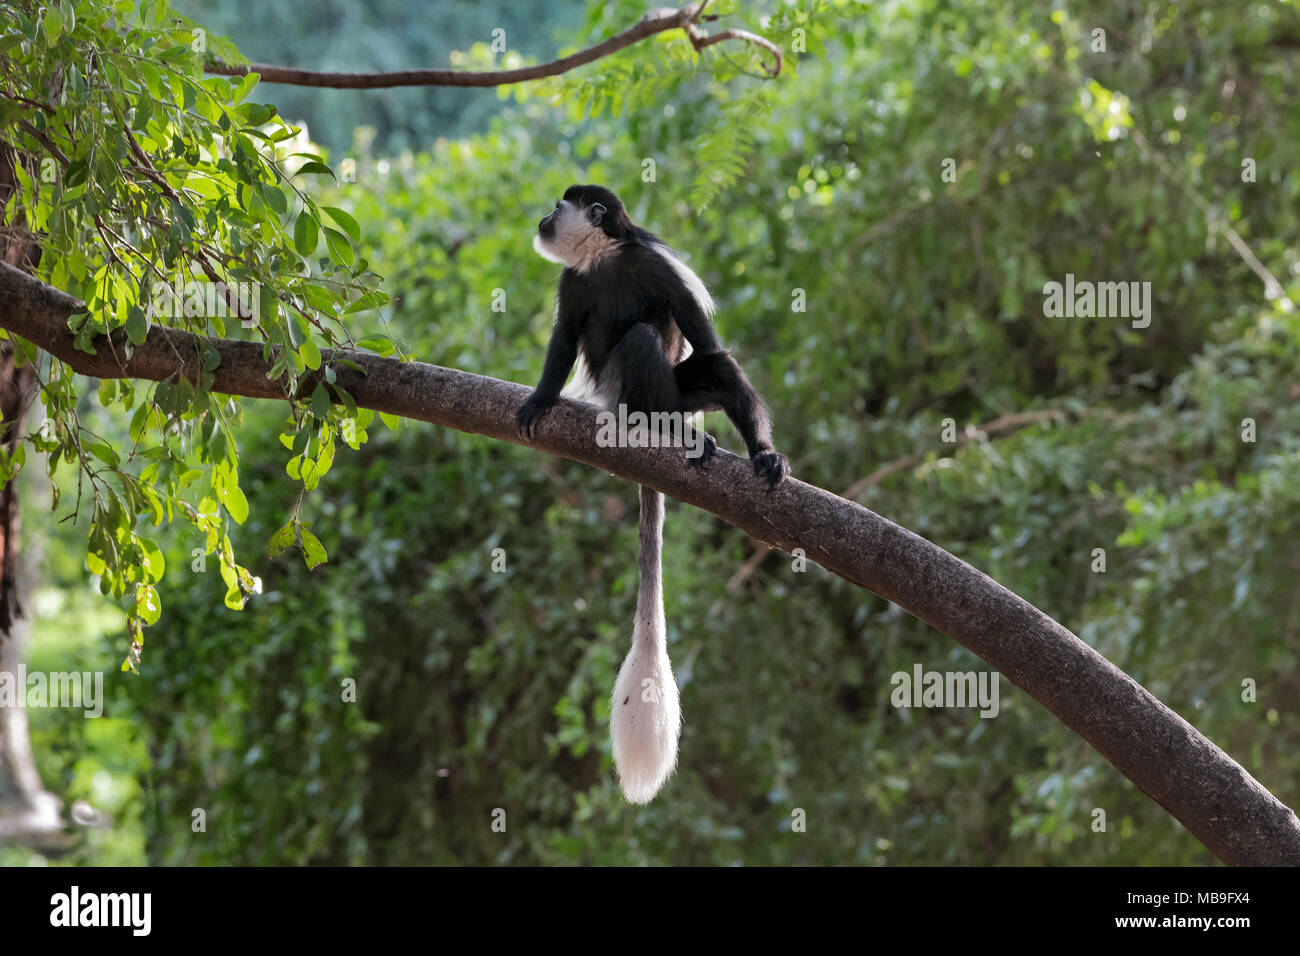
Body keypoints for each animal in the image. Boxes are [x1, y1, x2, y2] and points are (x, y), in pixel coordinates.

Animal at [520, 183, 785, 806]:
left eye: (559, 206)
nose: (542, 217)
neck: (602, 260)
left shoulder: (653, 267)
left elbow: (705, 341)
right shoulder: (571, 285)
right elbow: (563, 341)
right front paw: (541, 399)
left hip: (670, 389)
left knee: (699, 361)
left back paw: (726, 444)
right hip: (622, 392)